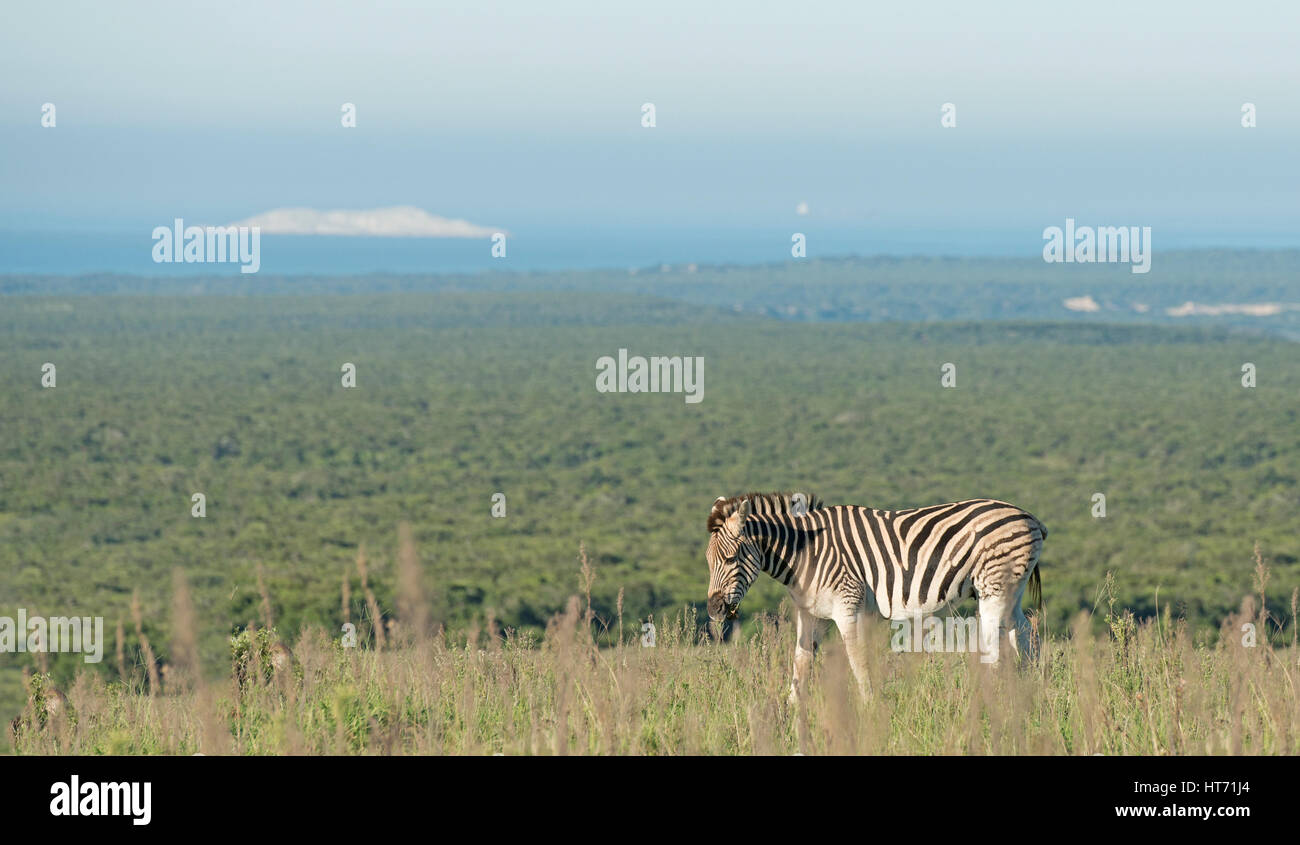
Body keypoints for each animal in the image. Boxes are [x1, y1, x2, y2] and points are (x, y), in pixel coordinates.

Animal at [712, 493, 1045, 696]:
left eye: (730, 559)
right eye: (708, 560)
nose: (714, 609)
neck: (807, 554)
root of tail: (1029, 517)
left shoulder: (848, 606)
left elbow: (857, 660)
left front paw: (869, 709)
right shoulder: (811, 612)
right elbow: (801, 663)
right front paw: (789, 715)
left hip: (994, 588)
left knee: (994, 645)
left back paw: (991, 701)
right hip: (1010, 591)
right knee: (1025, 634)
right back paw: (1027, 692)